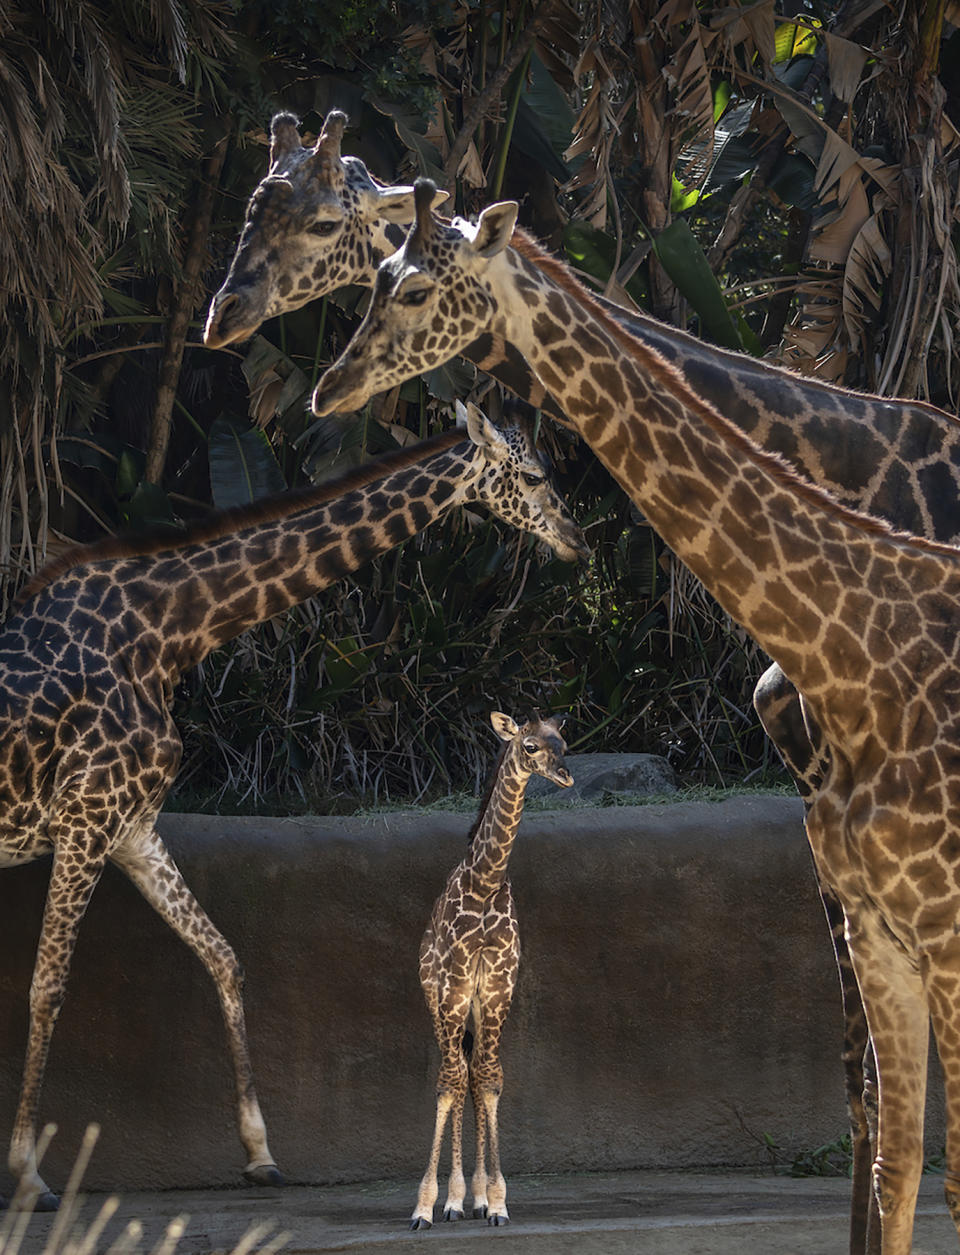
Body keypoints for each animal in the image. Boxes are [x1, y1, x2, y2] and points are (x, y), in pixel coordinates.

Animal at [409, 712, 572, 1229]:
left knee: (473, 1071)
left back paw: (473, 1198)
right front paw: (426, 1206)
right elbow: (449, 1083)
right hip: (438, 996)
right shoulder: (455, 985)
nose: (565, 776)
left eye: (563, 744)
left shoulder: (499, 985)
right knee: (456, 1073)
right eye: (529, 746)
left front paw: (495, 1201)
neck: (484, 883)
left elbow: (490, 1079)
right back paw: (452, 1201)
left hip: (478, 1006)